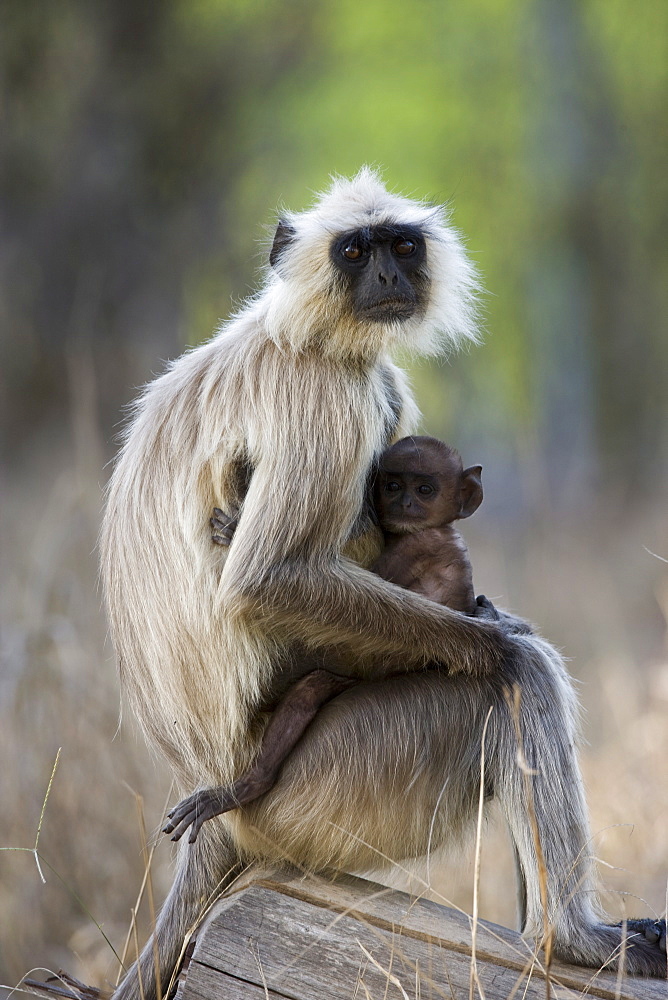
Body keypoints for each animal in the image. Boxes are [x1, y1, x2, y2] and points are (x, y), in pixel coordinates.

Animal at [164, 434, 494, 840]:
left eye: (425, 489)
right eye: (393, 485)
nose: (405, 503)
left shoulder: (415, 544)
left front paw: (234, 529)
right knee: (307, 692)